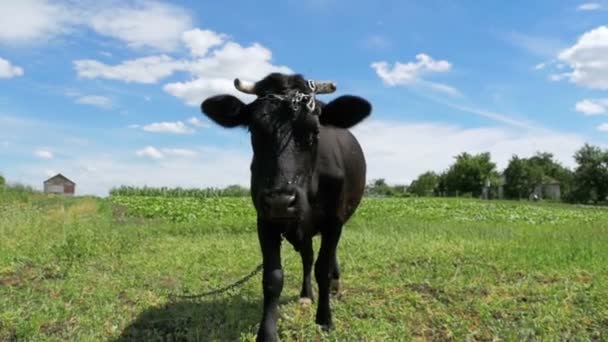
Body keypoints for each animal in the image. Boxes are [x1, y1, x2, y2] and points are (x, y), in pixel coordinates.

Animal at [201, 72, 370, 340]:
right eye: (254, 130)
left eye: (314, 131)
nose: (281, 201)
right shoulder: (265, 220)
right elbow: (273, 277)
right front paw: (267, 332)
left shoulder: (334, 221)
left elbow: (323, 268)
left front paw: (325, 319)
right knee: (307, 258)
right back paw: (306, 295)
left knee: (326, 258)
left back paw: (334, 283)